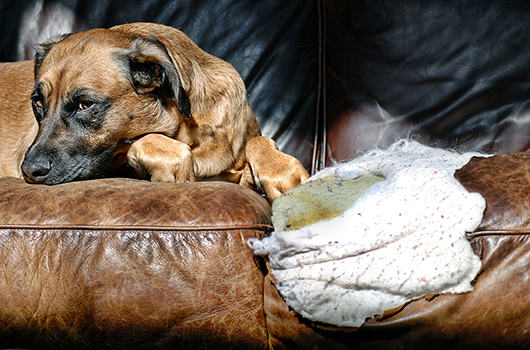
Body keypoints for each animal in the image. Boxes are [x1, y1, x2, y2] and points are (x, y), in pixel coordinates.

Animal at [0, 21, 308, 201]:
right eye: (38, 103)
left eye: (85, 104)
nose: (29, 171)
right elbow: (148, 143)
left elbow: (259, 140)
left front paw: (279, 170)